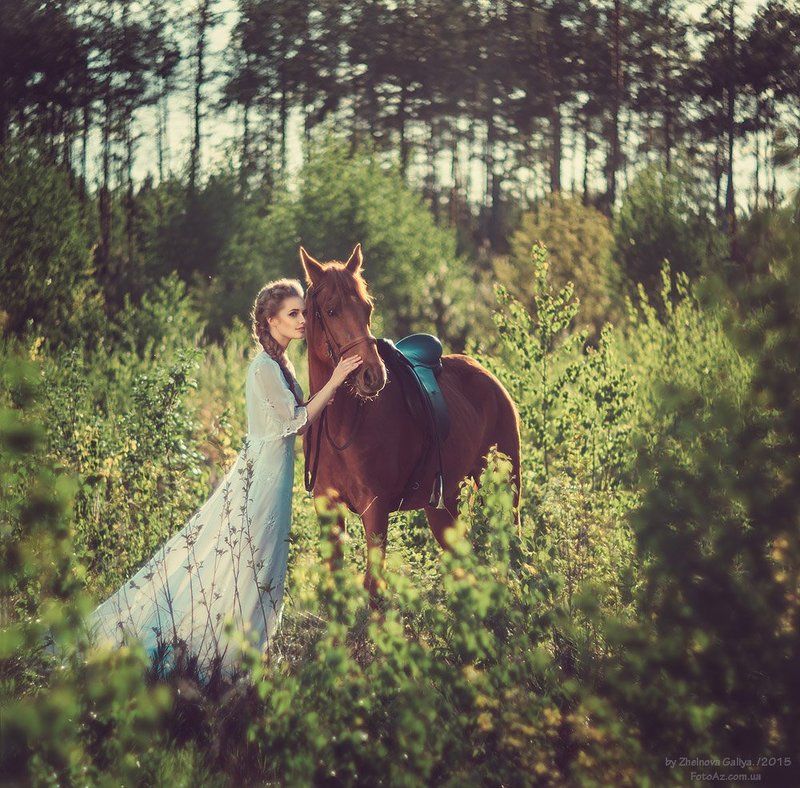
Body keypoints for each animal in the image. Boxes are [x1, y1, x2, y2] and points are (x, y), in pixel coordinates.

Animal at [299, 243, 521, 599]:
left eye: (367, 308)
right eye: (331, 310)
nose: (372, 375)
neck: (343, 425)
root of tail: (487, 375)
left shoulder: (375, 510)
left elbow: (374, 589)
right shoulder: (327, 509)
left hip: (506, 484)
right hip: (443, 505)